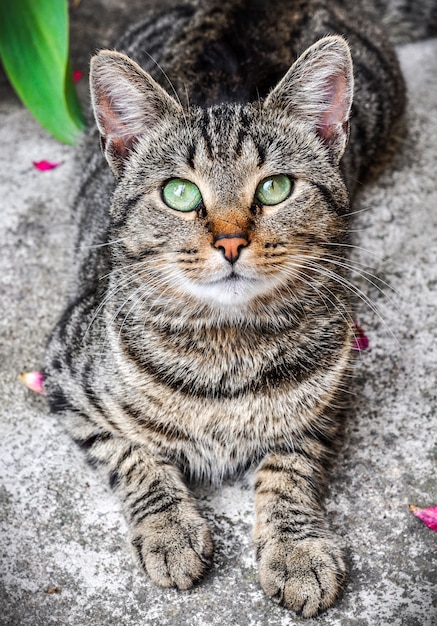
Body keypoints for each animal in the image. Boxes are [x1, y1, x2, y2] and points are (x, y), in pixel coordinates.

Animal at [43, 0, 426, 616]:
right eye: (178, 193)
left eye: (275, 188)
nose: (229, 242)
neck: (226, 349)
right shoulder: (66, 380)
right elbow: (135, 457)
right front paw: (170, 531)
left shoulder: (330, 401)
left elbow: (291, 471)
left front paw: (297, 550)